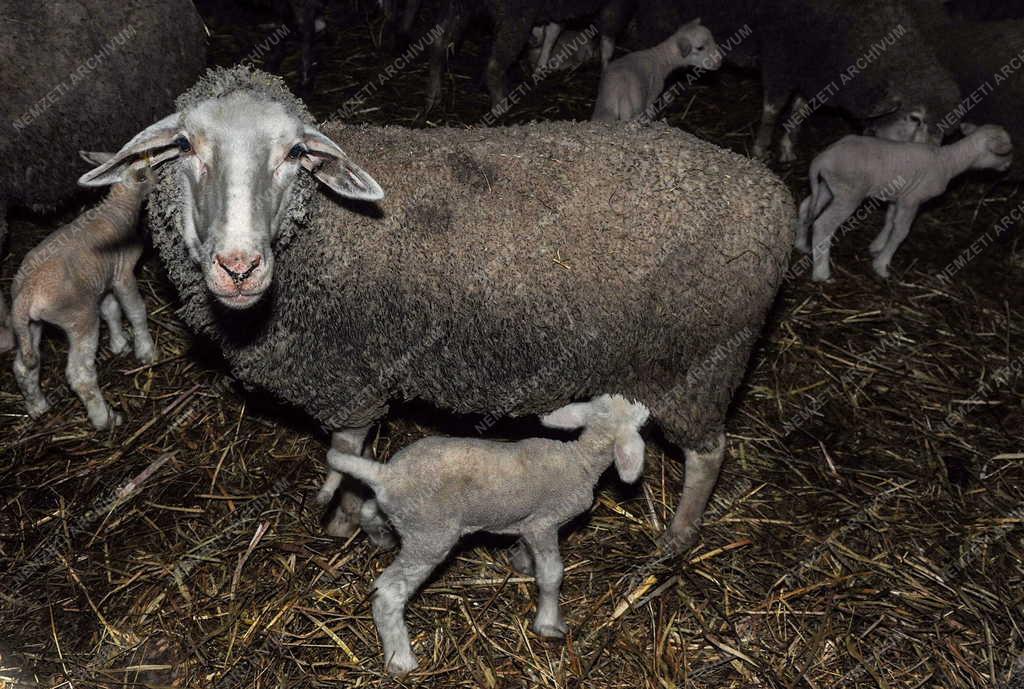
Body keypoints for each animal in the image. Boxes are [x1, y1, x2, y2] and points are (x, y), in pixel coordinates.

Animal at [11, 154, 157, 429]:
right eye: (149, 171)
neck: (118, 206)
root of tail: (25, 295)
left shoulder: (102, 280)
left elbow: (111, 311)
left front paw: (120, 344)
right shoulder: (122, 273)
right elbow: (135, 311)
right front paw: (146, 350)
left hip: (30, 325)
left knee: (25, 366)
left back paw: (37, 407)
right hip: (78, 318)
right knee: (80, 374)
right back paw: (105, 419)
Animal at [83, 67, 794, 552]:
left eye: (296, 154)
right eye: (185, 147)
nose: (239, 267)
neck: (320, 231)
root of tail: (773, 196)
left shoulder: (351, 379)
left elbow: (345, 454)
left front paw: (343, 523)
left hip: (698, 363)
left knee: (710, 453)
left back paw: (676, 539)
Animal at [325, 393, 647, 671]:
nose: (646, 406)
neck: (580, 459)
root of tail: (387, 475)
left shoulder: (528, 522)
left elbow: (527, 549)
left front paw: (522, 563)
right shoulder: (543, 523)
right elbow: (552, 574)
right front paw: (548, 624)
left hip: (401, 513)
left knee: (368, 510)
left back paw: (383, 538)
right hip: (430, 536)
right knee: (389, 592)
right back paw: (401, 660)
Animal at [589, 17, 724, 122]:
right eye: (700, 48)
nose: (719, 62)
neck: (661, 59)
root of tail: (616, 89)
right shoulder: (652, 94)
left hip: (603, 107)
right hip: (633, 104)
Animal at [794, 122, 1011, 280]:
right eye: (1006, 151)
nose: (1008, 166)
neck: (949, 162)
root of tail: (822, 158)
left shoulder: (897, 197)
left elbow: (890, 221)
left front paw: (877, 247)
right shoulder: (912, 199)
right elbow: (901, 231)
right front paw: (881, 266)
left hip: (828, 186)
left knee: (806, 207)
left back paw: (801, 245)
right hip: (849, 192)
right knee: (823, 224)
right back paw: (822, 273)